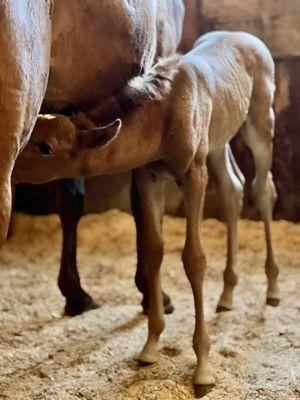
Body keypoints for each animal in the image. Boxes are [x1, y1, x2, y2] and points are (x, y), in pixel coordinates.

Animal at [15, 32, 280, 394]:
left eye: (46, 148)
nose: (10, 165)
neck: (163, 115)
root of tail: (250, 38)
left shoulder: (193, 174)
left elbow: (194, 258)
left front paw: (203, 369)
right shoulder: (148, 175)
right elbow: (153, 250)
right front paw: (150, 347)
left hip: (259, 121)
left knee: (263, 188)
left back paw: (272, 289)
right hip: (219, 139)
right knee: (233, 189)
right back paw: (227, 295)